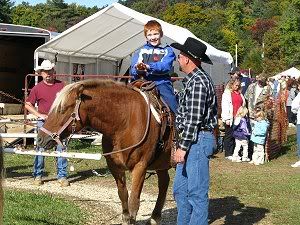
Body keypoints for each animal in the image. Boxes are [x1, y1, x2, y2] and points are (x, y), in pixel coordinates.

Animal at [37, 79, 173, 225]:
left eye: (62, 109)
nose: (39, 138)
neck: (124, 123)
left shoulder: (140, 167)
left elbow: (134, 202)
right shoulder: (114, 166)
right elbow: (123, 194)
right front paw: (126, 219)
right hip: (161, 164)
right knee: (164, 183)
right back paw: (155, 217)